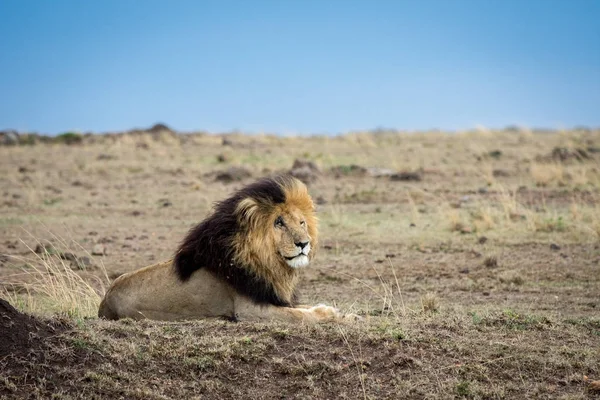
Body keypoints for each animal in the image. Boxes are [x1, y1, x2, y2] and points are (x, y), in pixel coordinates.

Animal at [98, 176, 352, 324]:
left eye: (301, 223)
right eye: (279, 223)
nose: (304, 243)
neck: (268, 263)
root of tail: (105, 301)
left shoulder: (272, 295)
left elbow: (304, 306)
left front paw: (341, 311)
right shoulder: (250, 310)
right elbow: (299, 315)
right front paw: (331, 314)